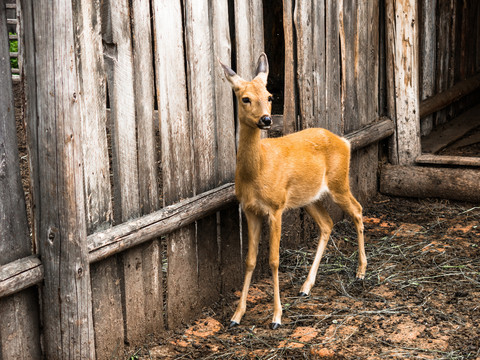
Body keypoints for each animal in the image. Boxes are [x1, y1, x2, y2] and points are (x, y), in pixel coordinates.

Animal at [221, 52, 368, 330]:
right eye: (245, 98)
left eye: (269, 96)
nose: (266, 119)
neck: (257, 171)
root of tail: (344, 141)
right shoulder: (250, 209)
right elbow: (250, 260)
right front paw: (236, 315)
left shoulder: (276, 207)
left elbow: (273, 260)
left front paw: (277, 317)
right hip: (308, 198)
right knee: (327, 223)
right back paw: (305, 287)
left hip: (338, 183)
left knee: (357, 210)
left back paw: (361, 272)